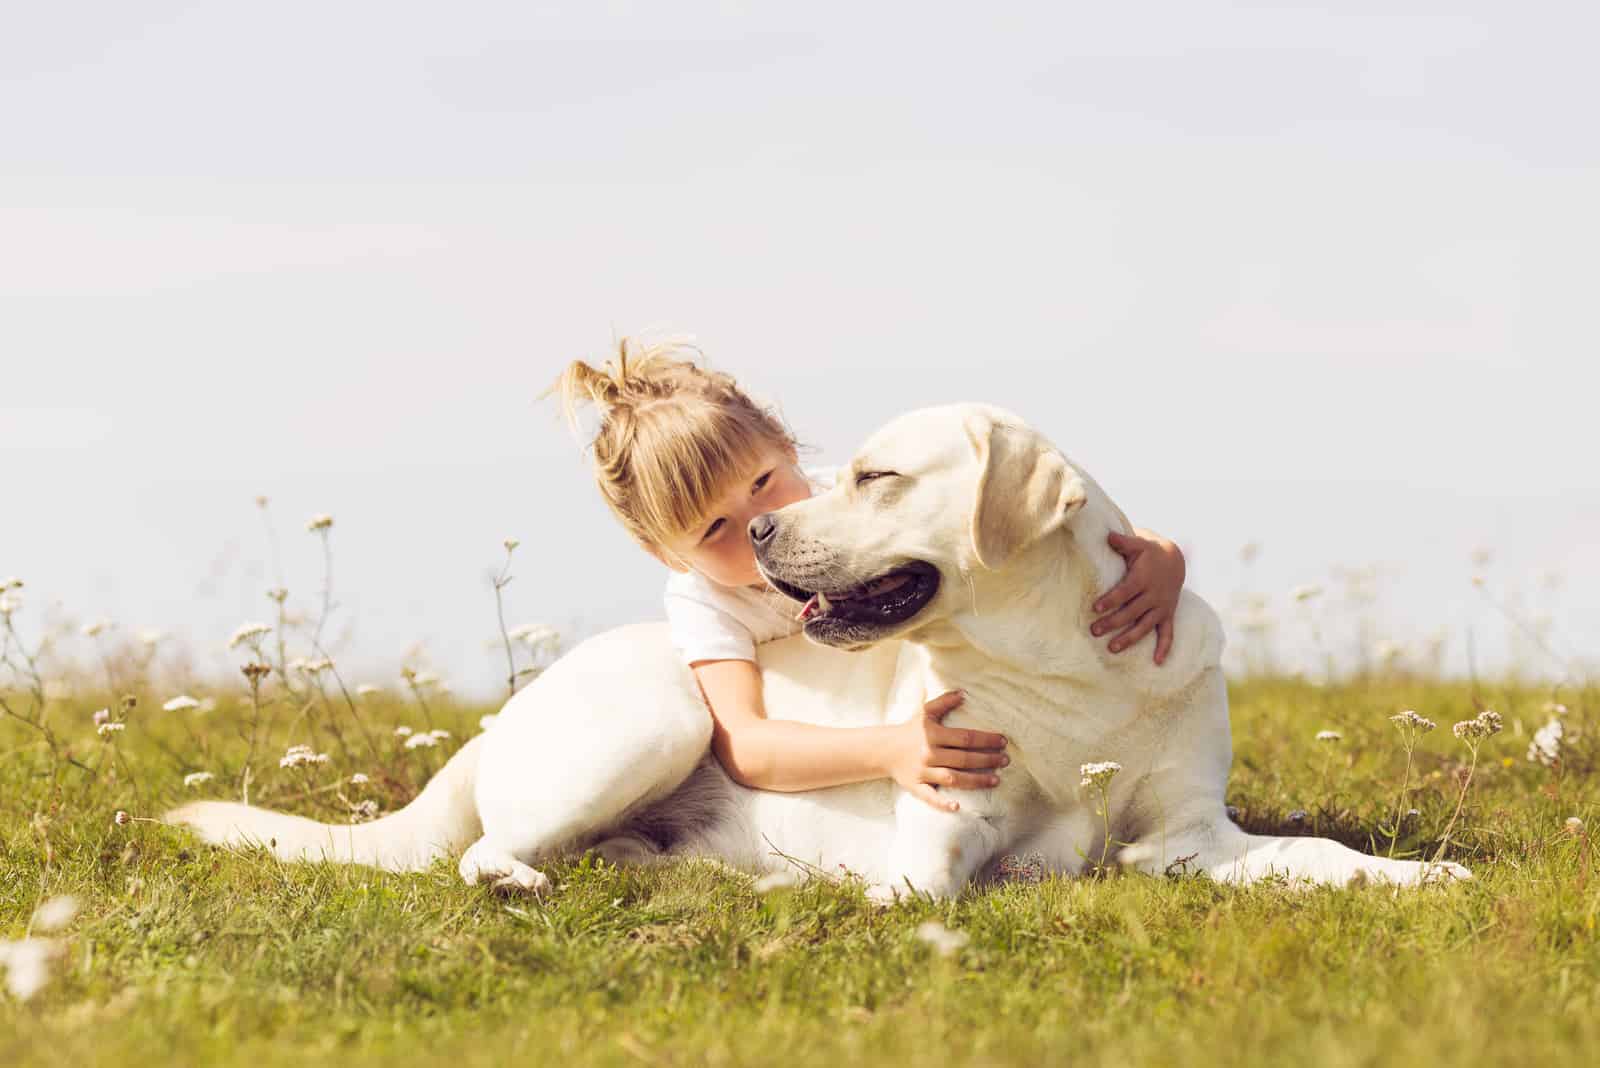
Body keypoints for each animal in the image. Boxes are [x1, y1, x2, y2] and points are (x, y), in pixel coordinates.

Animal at [168, 404, 1465, 895]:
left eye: (875, 476)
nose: (759, 528)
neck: (1061, 674)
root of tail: (498, 719)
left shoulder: (1197, 834)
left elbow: (1311, 855)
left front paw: (1417, 877)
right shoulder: (941, 836)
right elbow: (939, 881)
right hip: (663, 711)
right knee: (486, 853)